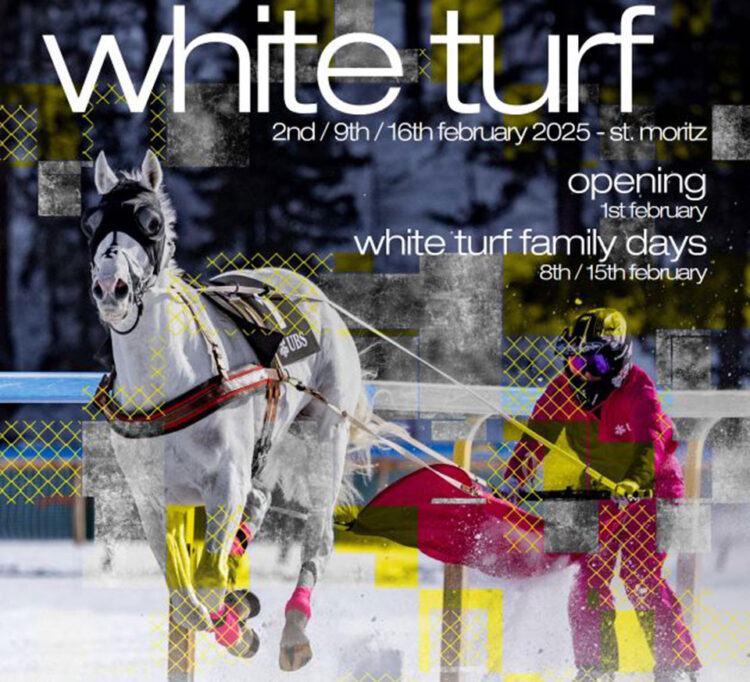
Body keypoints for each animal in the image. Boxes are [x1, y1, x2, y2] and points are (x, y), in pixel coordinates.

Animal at [82, 149, 374, 670]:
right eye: (90, 224)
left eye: (151, 224)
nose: (111, 288)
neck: (172, 376)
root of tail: (311, 291)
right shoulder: (153, 497)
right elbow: (185, 593)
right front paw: (232, 620)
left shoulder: (225, 481)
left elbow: (208, 579)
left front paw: (234, 622)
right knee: (257, 505)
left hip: (325, 436)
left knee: (317, 538)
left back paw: (294, 631)